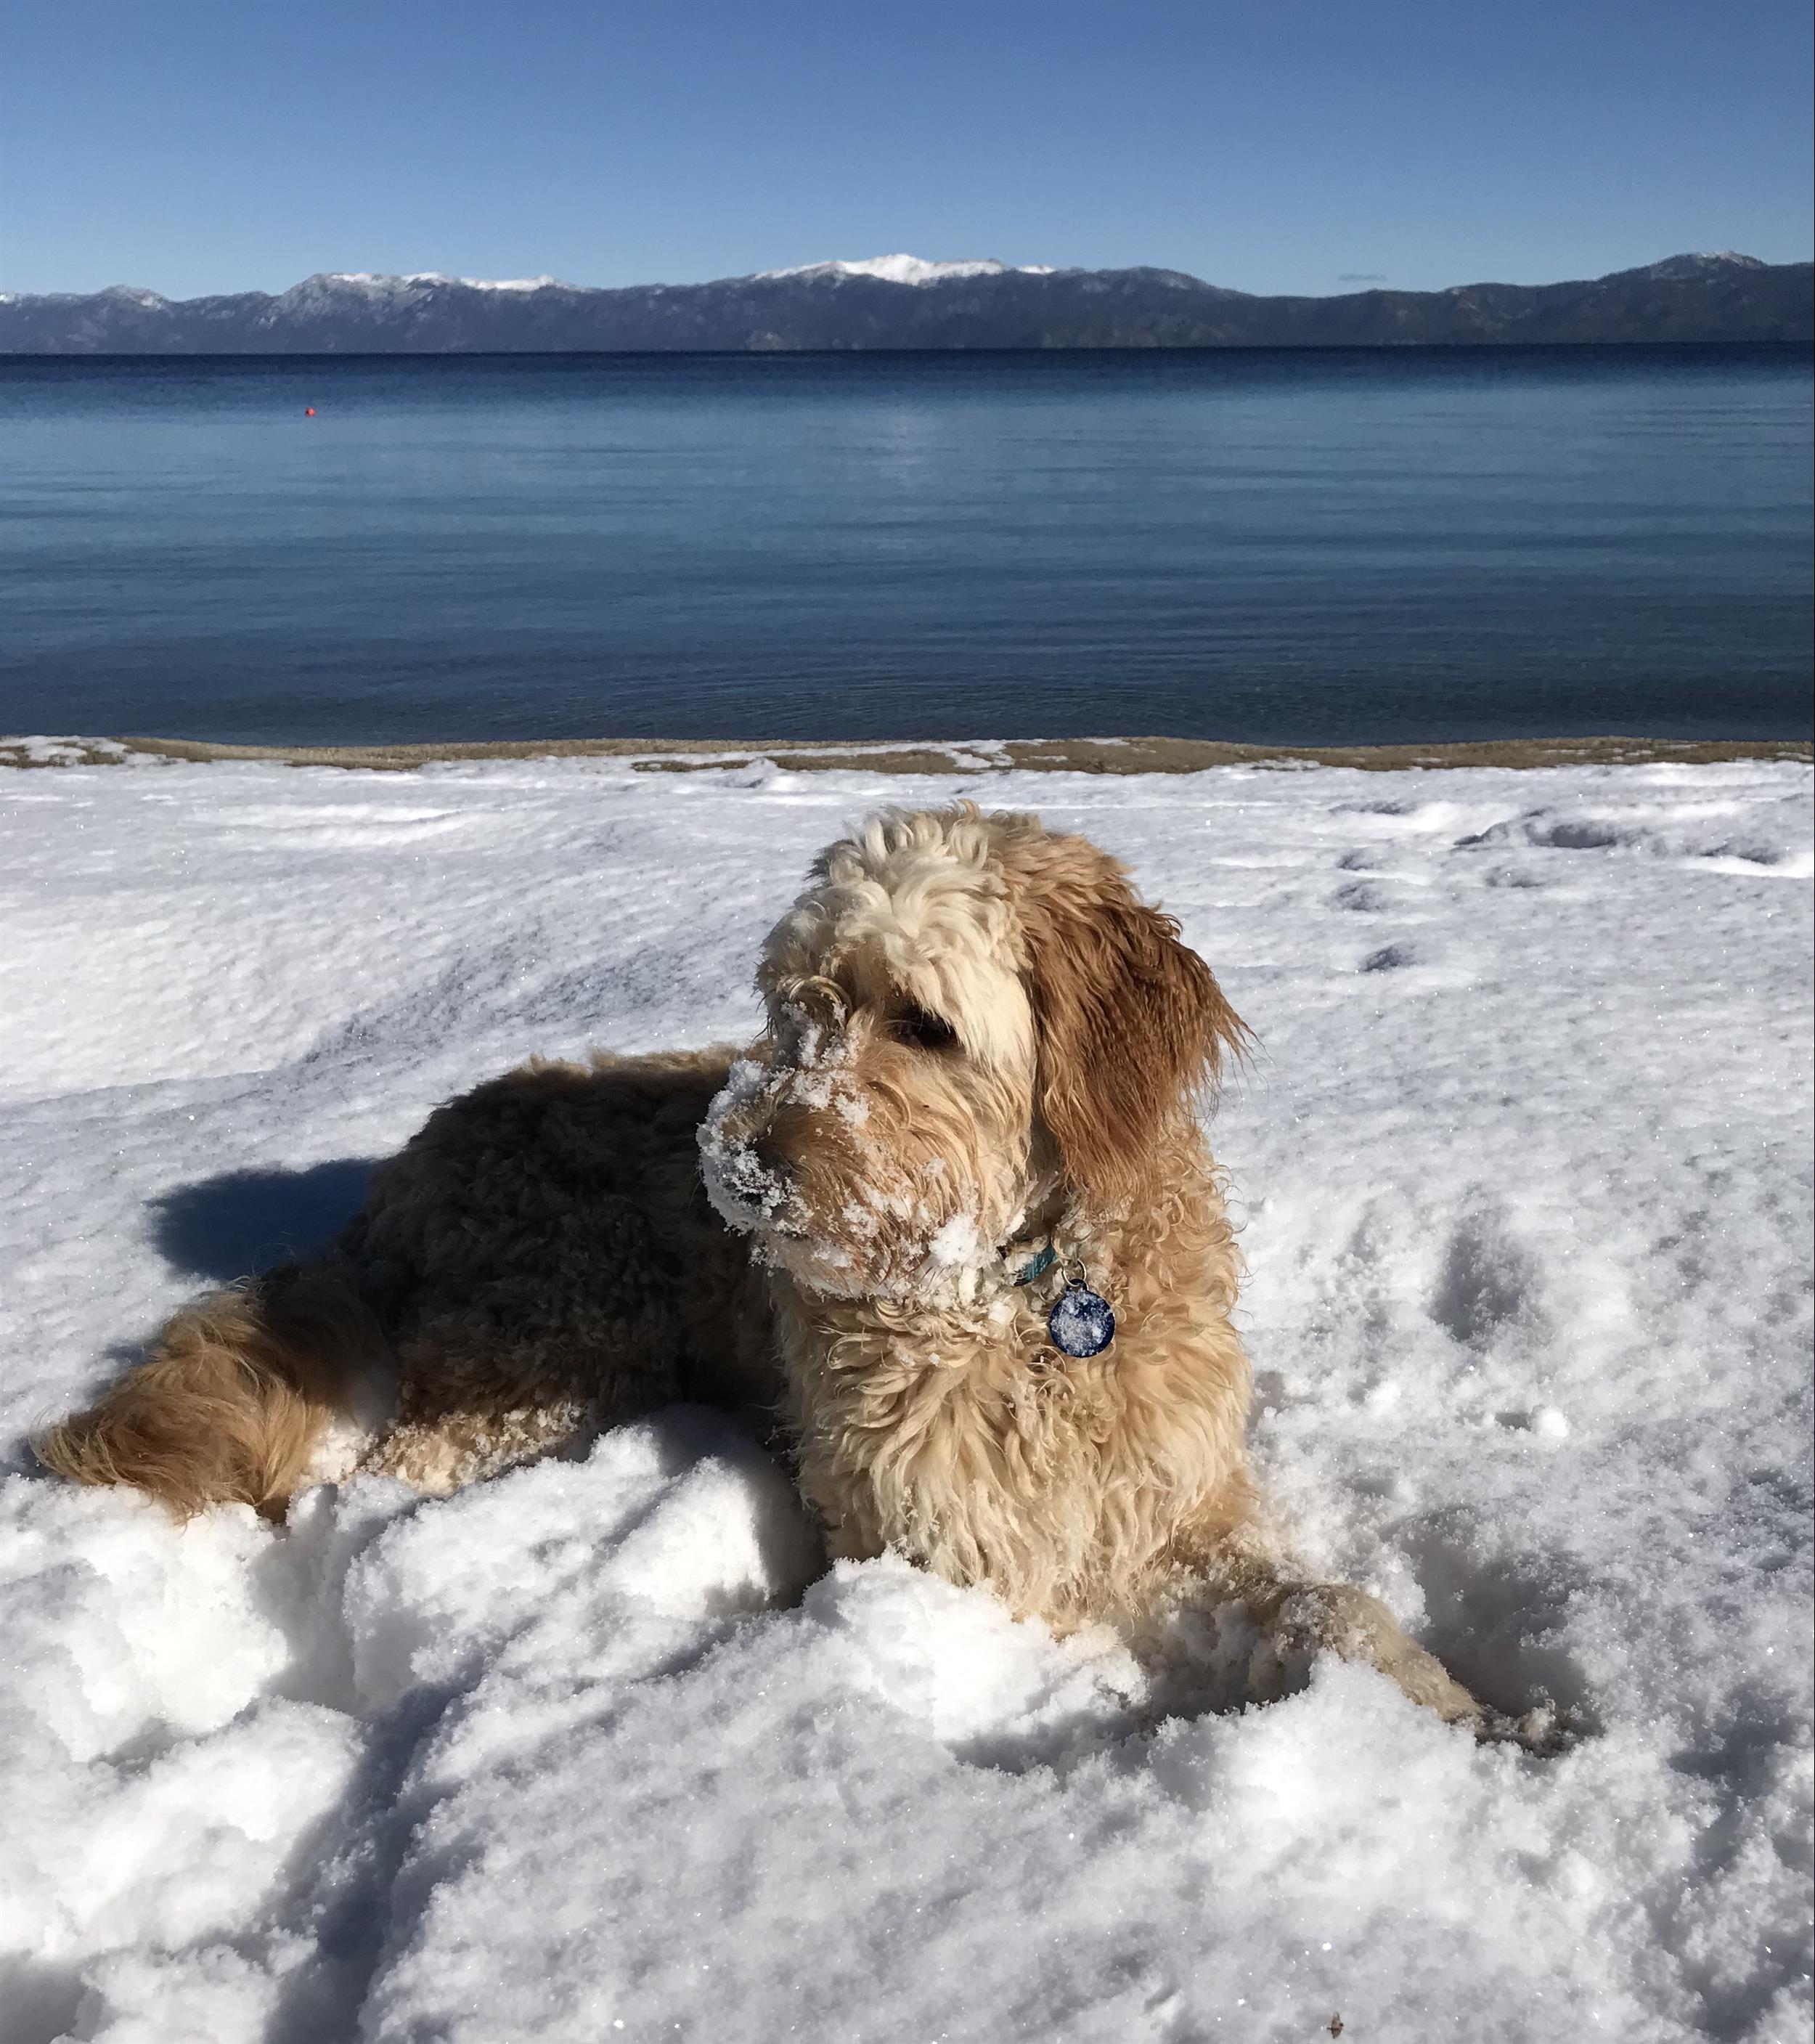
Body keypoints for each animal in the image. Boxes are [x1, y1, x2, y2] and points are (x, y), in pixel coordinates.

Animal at [35, 805, 1496, 1733]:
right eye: (797, 1005)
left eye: (924, 1023)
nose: (737, 1162)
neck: (1028, 1303)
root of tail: (405, 1167)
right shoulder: (944, 1547)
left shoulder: (1176, 1505)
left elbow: (1332, 1604)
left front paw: (1458, 1709)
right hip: (554, 1350)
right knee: (377, 1480)